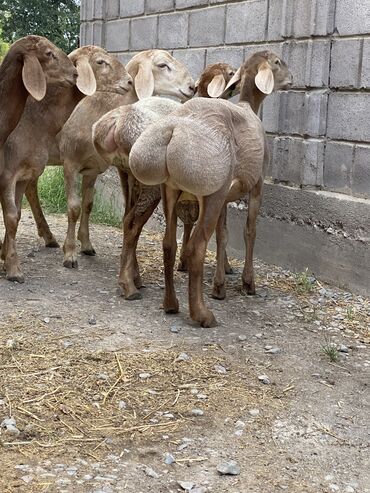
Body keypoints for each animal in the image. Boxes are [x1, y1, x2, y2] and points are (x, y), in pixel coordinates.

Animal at [59, 48, 195, 268]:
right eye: (162, 65)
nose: (193, 87)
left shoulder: (91, 170)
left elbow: (88, 205)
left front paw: (86, 244)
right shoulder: (69, 164)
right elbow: (73, 208)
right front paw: (69, 253)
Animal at [92, 61, 236, 300]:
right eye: (231, 73)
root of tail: (116, 124)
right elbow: (219, 229)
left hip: (127, 176)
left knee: (127, 220)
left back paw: (135, 278)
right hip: (150, 181)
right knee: (132, 223)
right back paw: (128, 286)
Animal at [129, 51, 294, 326]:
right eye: (278, 62)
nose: (292, 79)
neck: (249, 106)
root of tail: (172, 131)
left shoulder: (226, 197)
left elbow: (223, 234)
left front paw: (220, 283)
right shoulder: (257, 185)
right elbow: (250, 231)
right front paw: (247, 283)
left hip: (170, 190)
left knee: (169, 244)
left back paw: (171, 304)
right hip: (211, 189)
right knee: (196, 247)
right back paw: (202, 314)